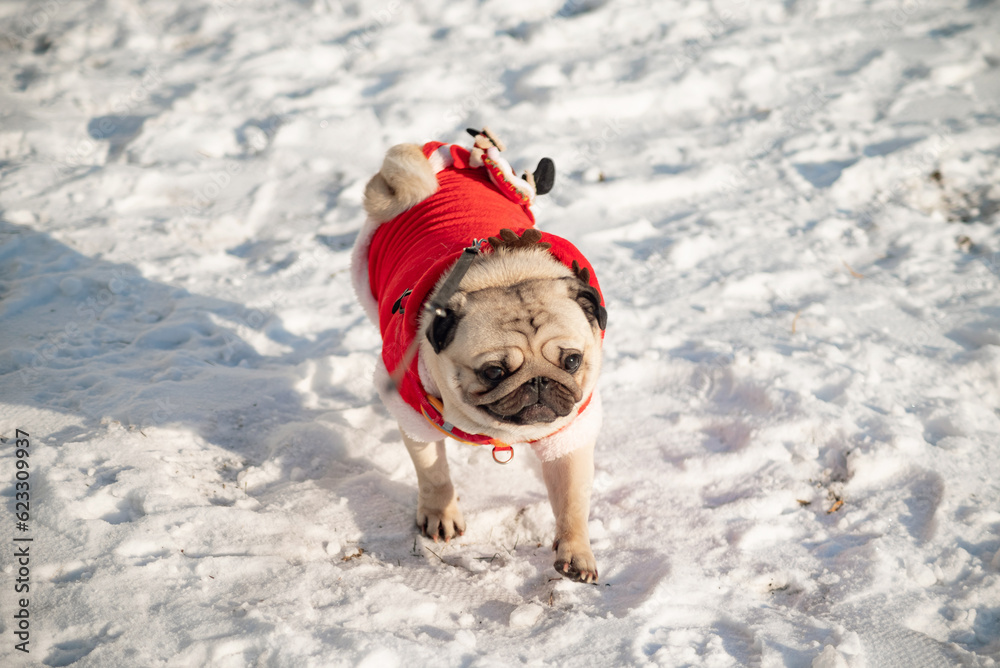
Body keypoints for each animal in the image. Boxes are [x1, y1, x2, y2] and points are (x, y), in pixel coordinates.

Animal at [352, 128, 604, 580]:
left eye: (572, 361)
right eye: (493, 372)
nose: (539, 382)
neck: (508, 273)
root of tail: (447, 154)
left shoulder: (569, 433)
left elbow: (572, 499)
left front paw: (575, 552)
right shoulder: (412, 411)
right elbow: (433, 473)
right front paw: (440, 514)